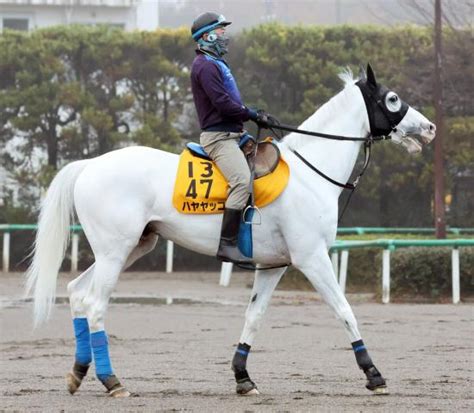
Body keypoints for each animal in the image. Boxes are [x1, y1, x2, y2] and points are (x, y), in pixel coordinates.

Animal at [25, 66, 434, 398]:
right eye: (392, 98)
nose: (429, 128)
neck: (309, 172)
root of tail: (90, 164)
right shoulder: (313, 259)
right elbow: (345, 310)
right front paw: (373, 373)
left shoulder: (273, 266)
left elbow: (254, 317)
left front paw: (242, 377)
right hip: (115, 252)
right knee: (95, 304)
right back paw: (112, 382)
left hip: (132, 248)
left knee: (77, 293)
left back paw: (78, 373)